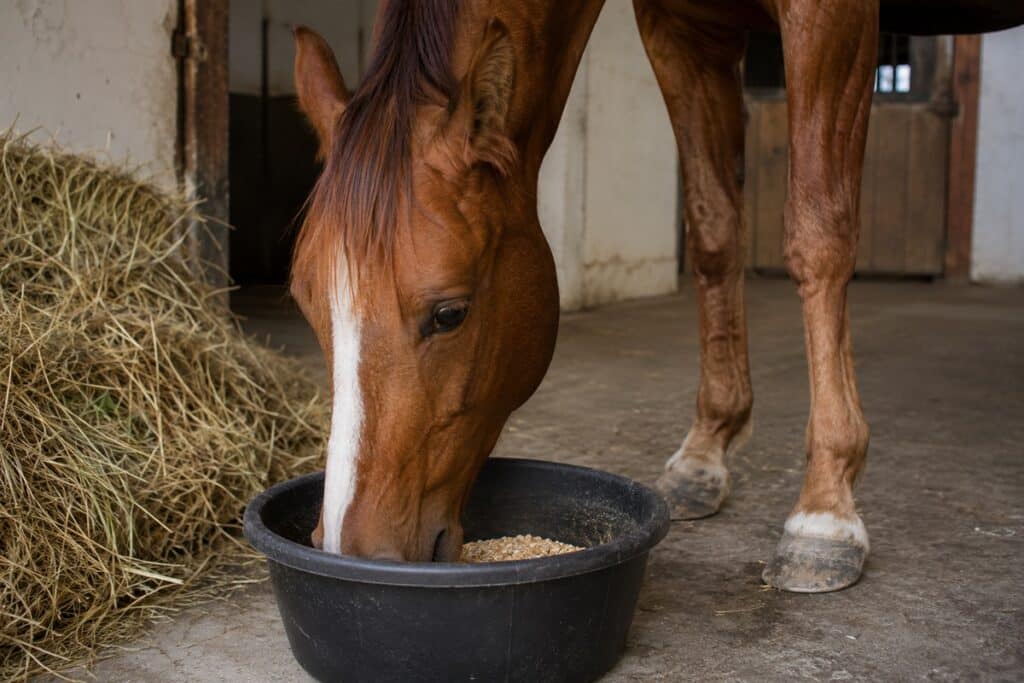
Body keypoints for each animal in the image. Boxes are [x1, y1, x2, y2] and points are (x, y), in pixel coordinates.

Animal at [289, 0, 1023, 592]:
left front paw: (825, 511)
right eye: (305, 305)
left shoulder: (830, 16)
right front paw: (705, 454)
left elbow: (819, 233)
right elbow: (712, 227)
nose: (354, 548)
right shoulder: (682, 28)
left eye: (449, 313)